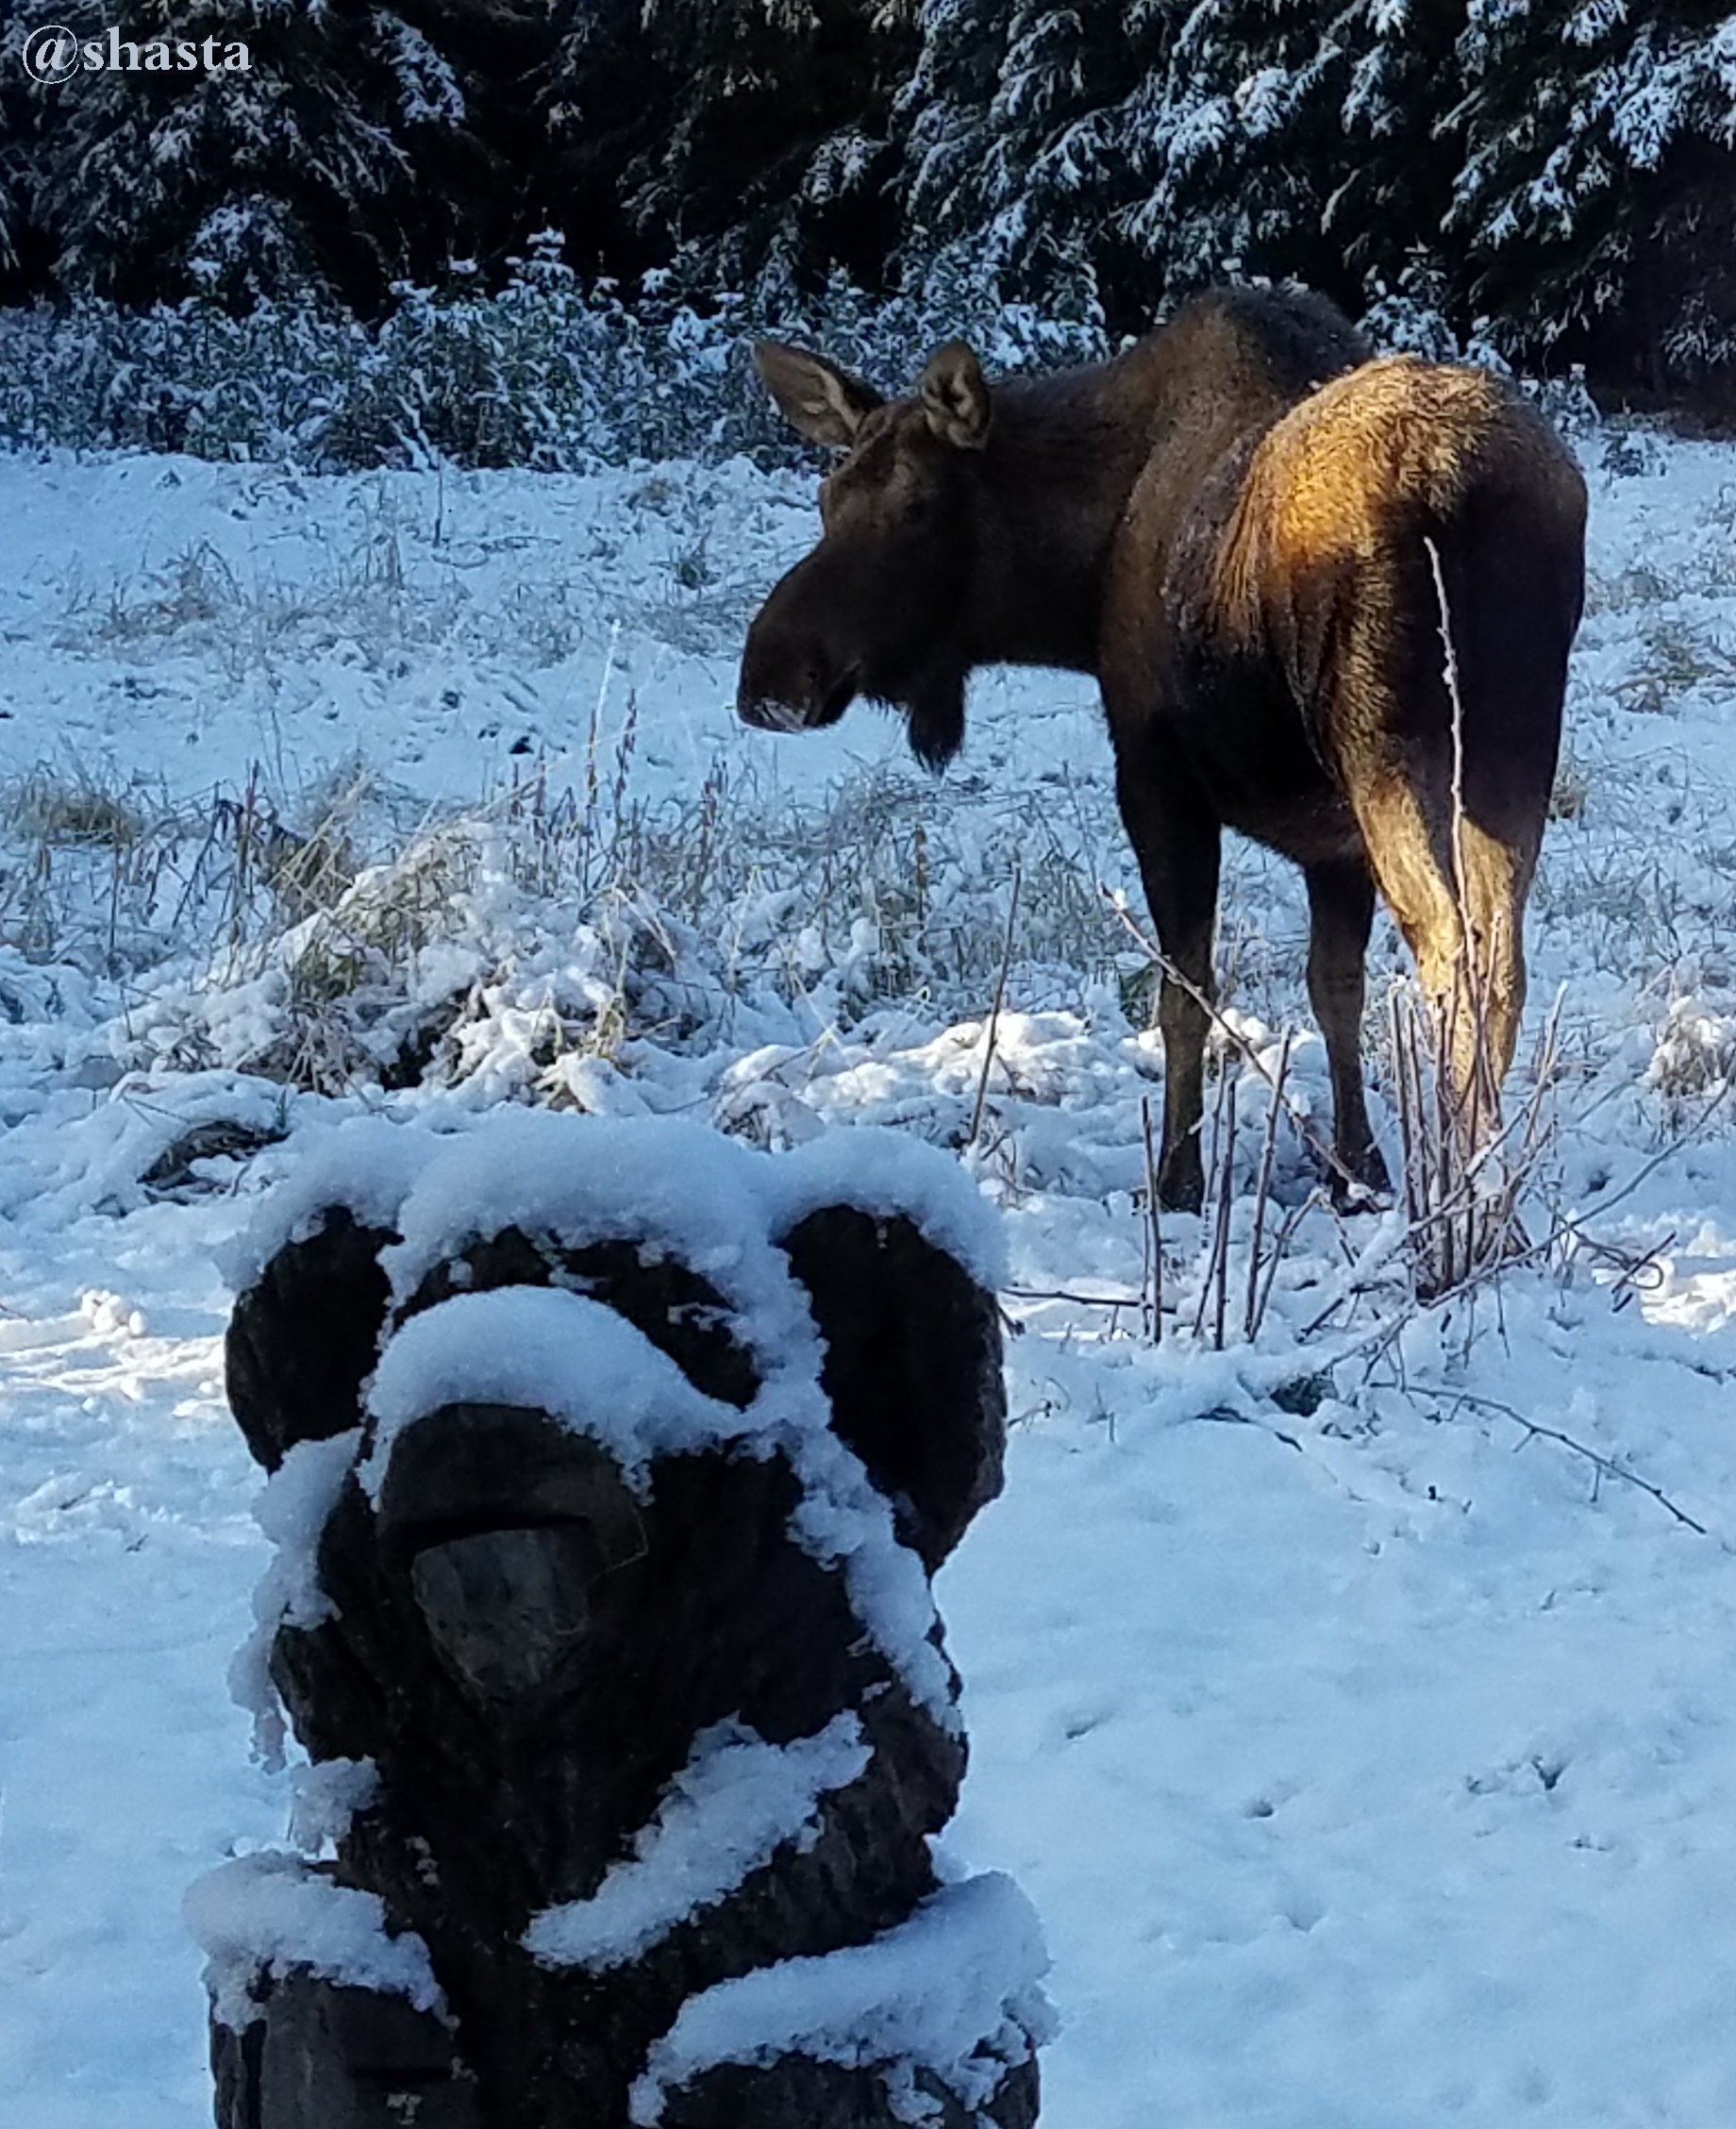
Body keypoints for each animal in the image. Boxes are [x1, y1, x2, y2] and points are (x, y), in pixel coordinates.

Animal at [736, 289, 1582, 1209]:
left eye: (918, 505)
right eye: (827, 497)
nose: (768, 676)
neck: (1075, 578)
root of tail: (1465, 492)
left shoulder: (1155, 780)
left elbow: (1185, 992)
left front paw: (1180, 1177)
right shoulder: (1332, 842)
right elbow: (1335, 988)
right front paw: (1355, 1169)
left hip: (1393, 753)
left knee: (1453, 952)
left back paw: (1466, 1194)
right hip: (1512, 751)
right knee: (1504, 958)